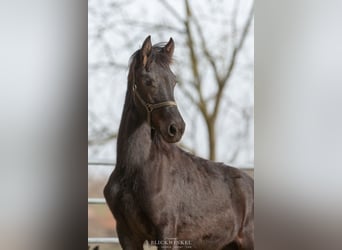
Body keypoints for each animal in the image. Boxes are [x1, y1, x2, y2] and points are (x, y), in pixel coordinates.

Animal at [103, 35, 252, 250]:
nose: (176, 128)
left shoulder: (166, 233)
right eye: (148, 81)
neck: (135, 169)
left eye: (174, 81)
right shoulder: (126, 234)